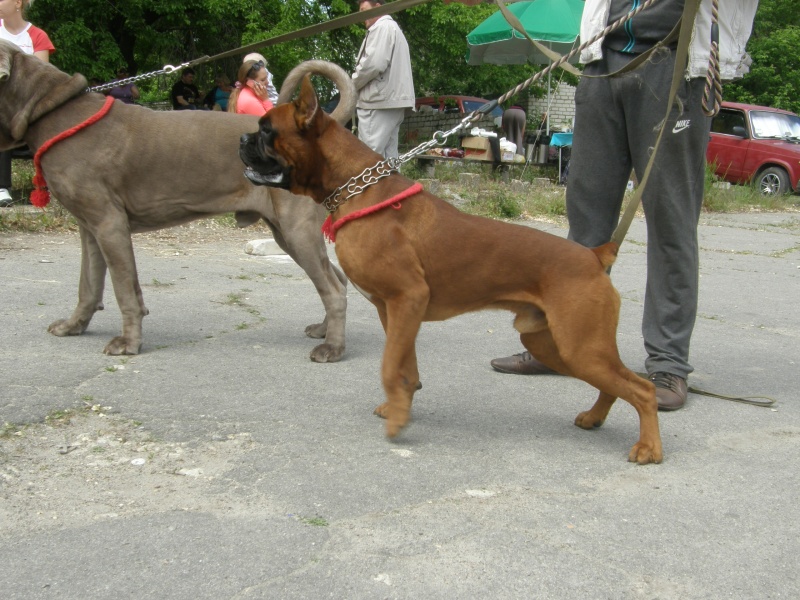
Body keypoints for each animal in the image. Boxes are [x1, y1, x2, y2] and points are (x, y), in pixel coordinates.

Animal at [0, 40, 351, 362]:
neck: (53, 111)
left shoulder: (109, 224)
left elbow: (124, 289)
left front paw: (128, 342)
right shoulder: (89, 226)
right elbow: (88, 283)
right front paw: (74, 326)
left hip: (296, 228)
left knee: (333, 288)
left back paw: (333, 348)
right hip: (286, 232)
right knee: (337, 280)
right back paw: (324, 331)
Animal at [239, 75, 663, 464]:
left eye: (267, 130)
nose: (242, 139)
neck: (359, 190)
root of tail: (594, 255)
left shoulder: (408, 299)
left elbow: (389, 365)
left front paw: (398, 420)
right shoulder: (393, 310)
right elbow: (404, 365)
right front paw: (401, 405)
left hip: (580, 347)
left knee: (643, 389)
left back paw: (649, 448)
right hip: (552, 345)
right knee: (616, 384)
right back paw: (594, 417)